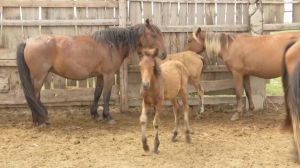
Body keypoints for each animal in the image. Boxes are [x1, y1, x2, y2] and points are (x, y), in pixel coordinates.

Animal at [16, 19, 166, 126]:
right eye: (153, 35)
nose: (164, 54)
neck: (112, 45)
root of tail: (27, 41)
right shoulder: (108, 75)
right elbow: (106, 95)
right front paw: (108, 116)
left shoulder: (100, 76)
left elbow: (97, 93)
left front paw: (95, 114)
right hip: (39, 76)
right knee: (34, 95)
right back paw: (39, 121)